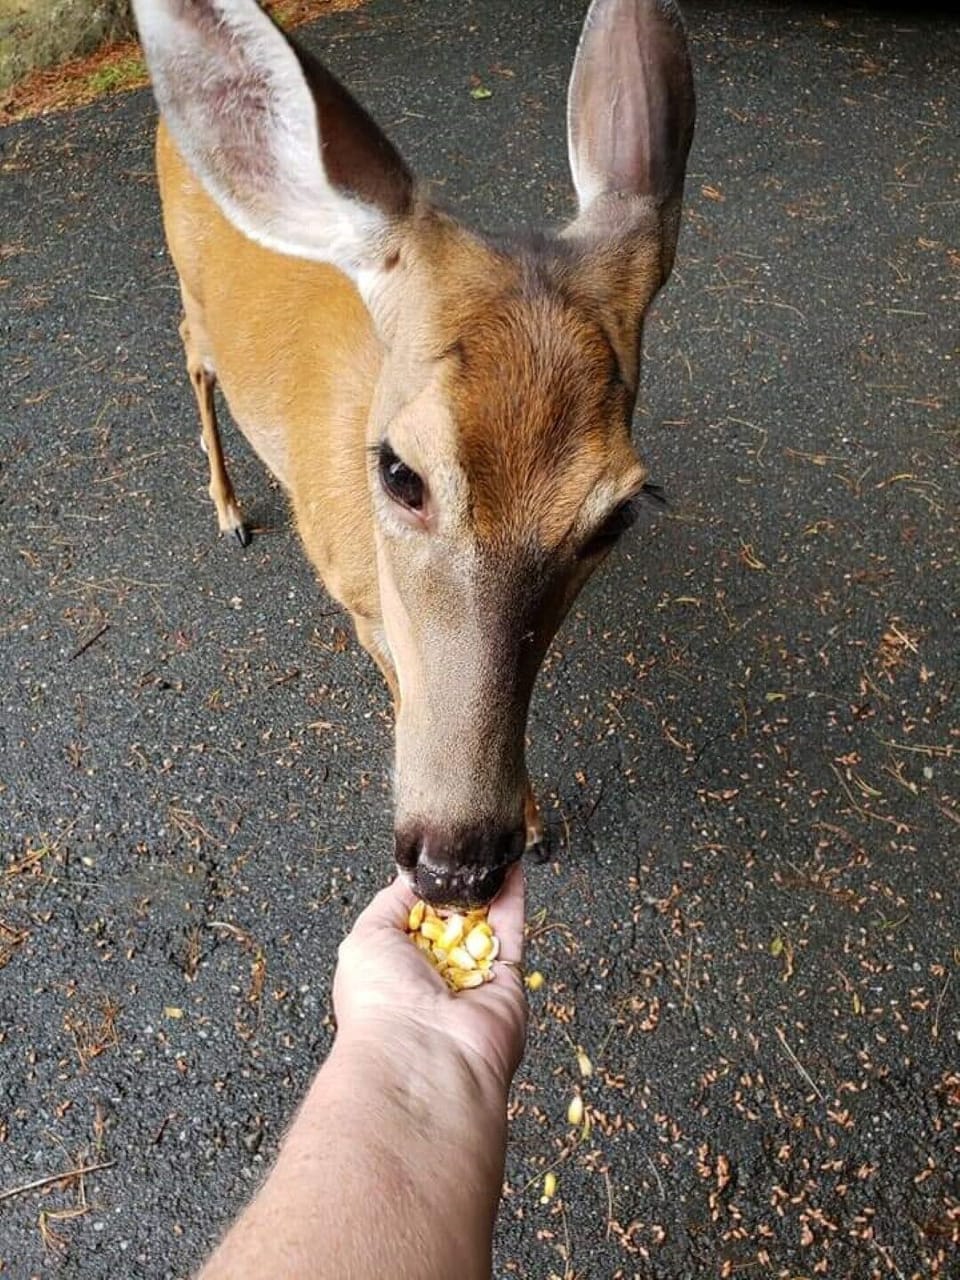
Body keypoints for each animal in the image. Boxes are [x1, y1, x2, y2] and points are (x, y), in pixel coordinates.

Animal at [131, 0, 695, 909]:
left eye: (616, 518)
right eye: (401, 474)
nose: (456, 866)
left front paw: (534, 820)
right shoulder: (358, 601)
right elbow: (401, 680)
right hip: (188, 281)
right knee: (191, 346)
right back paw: (228, 510)